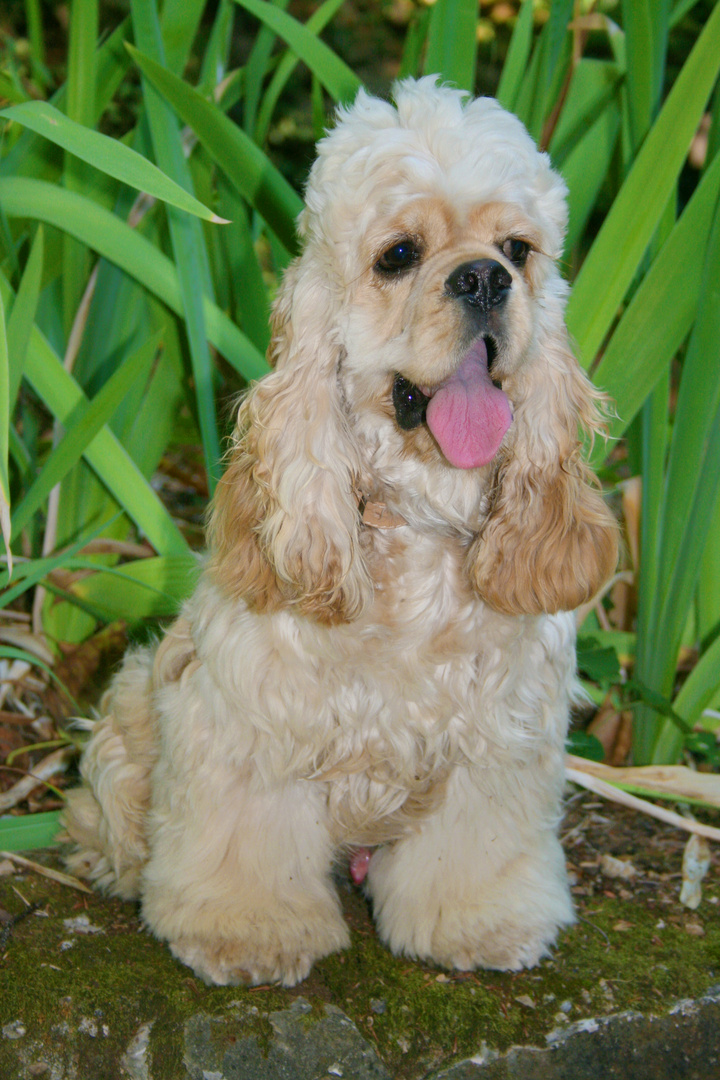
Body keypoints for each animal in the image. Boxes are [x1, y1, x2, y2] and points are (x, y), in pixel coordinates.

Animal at [63, 76, 621, 989]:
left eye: (518, 248)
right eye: (398, 254)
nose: (484, 278)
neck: (420, 523)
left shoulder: (500, 740)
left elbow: (474, 852)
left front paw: (481, 924)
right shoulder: (246, 723)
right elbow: (243, 846)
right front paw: (245, 933)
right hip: (137, 700)